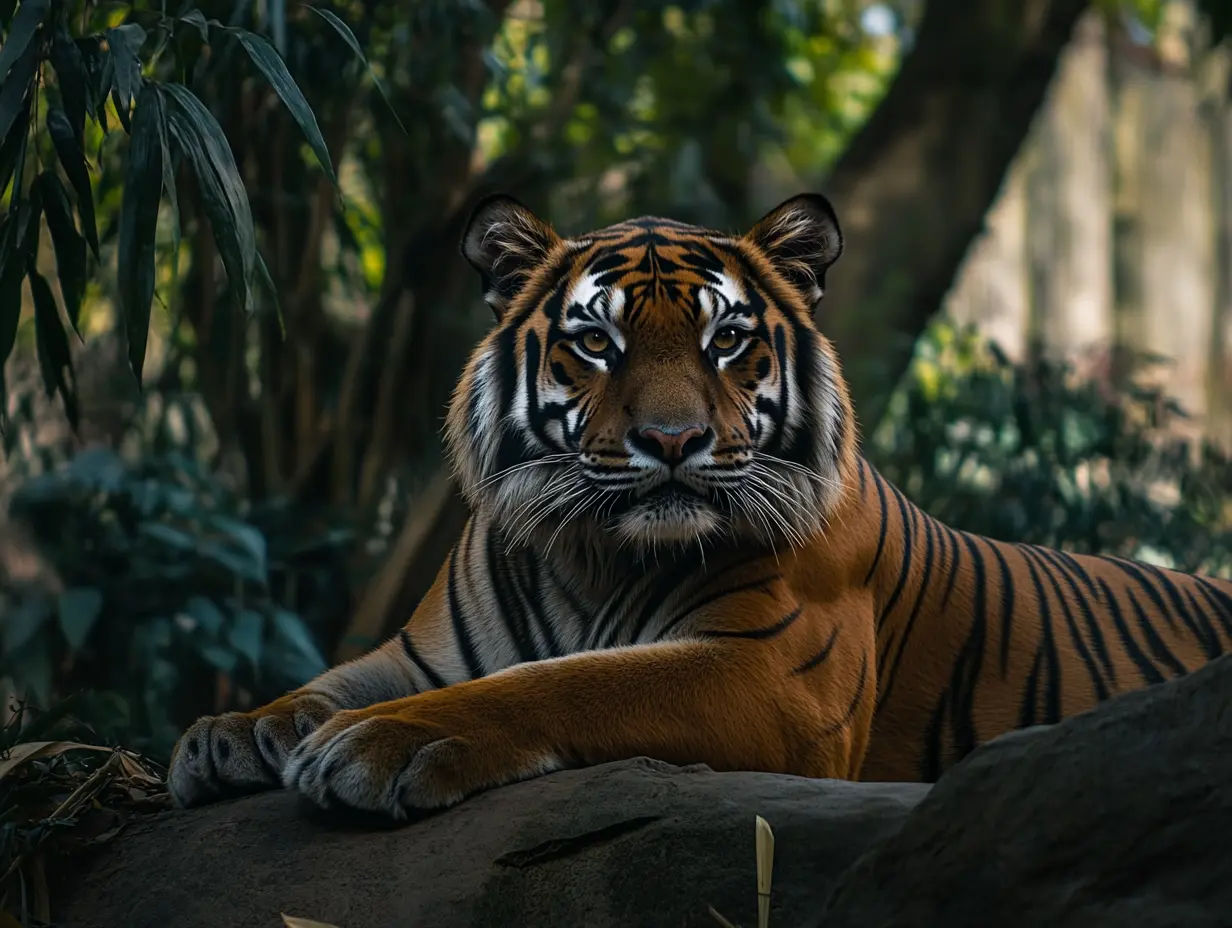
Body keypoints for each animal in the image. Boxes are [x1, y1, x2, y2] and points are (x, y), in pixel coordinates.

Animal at [167, 192, 1232, 817]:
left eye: (727, 341)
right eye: (595, 343)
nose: (674, 442)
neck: (591, 555)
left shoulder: (771, 674)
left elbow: (568, 683)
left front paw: (383, 744)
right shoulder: (421, 652)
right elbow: (329, 680)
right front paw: (232, 733)